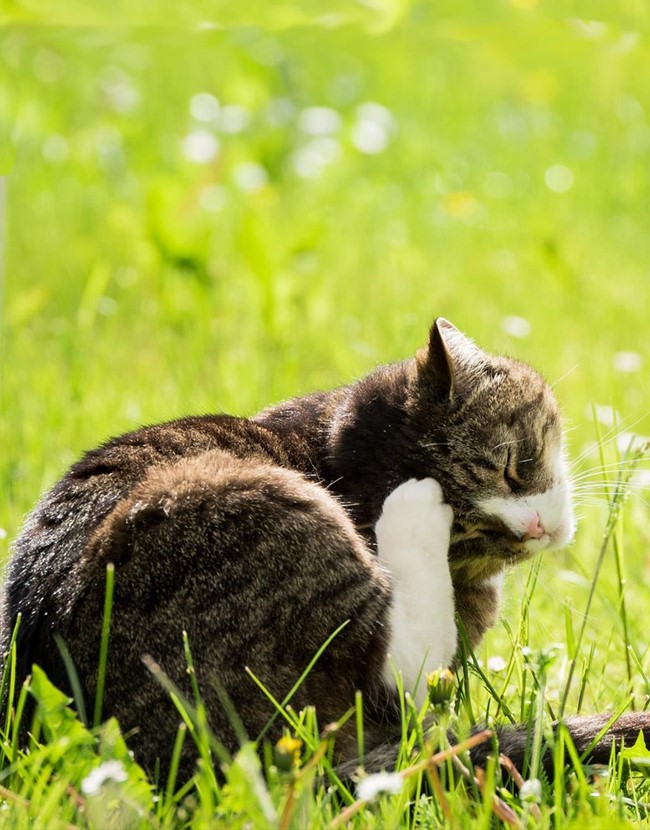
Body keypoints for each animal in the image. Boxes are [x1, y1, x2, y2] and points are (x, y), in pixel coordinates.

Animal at [0, 316, 644, 780]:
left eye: (520, 465)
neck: (328, 453)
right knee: (399, 672)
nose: (532, 529)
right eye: (471, 531)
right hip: (260, 514)